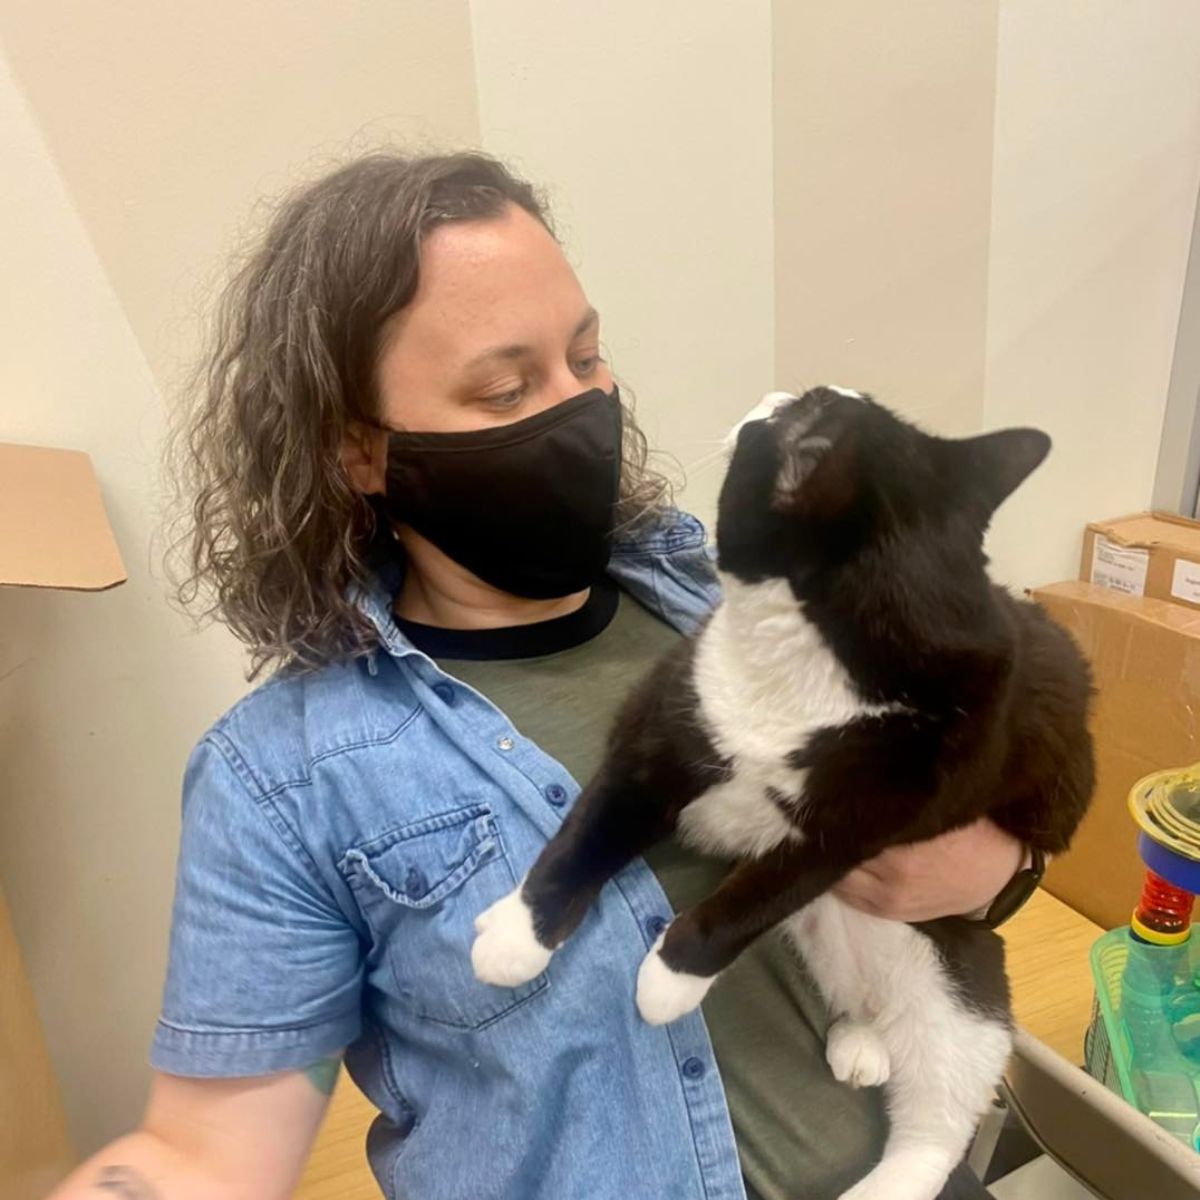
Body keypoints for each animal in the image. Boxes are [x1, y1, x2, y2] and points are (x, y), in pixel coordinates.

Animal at [468, 386, 1099, 1200]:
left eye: (799, 410)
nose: (775, 394)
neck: (813, 659)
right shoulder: (666, 729)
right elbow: (588, 833)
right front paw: (518, 937)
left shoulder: (858, 825)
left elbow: (750, 899)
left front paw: (668, 979)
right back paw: (862, 1040)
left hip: (963, 981)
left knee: (938, 1120)